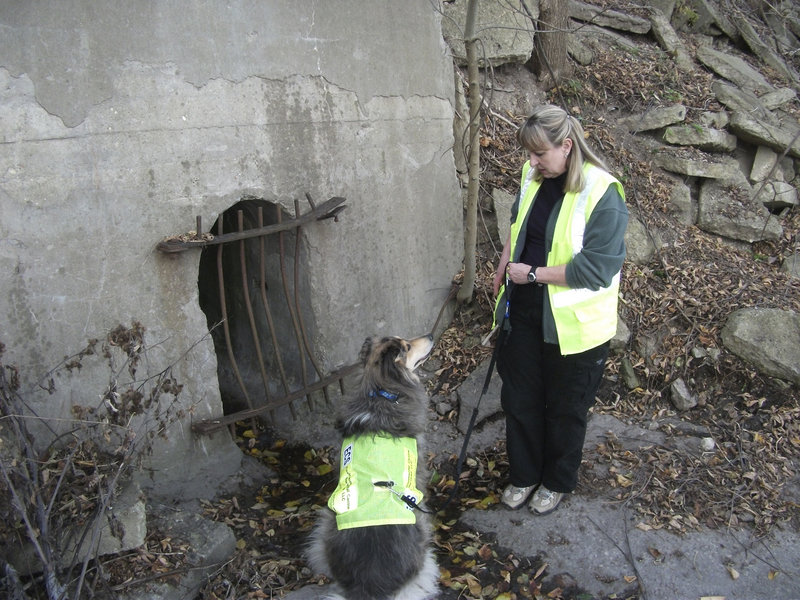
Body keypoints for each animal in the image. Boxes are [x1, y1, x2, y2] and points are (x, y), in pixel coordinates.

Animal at [304, 332, 438, 600]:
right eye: (407, 346)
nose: (430, 335)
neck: (382, 390)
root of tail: (368, 587)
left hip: (326, 520)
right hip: (419, 529)